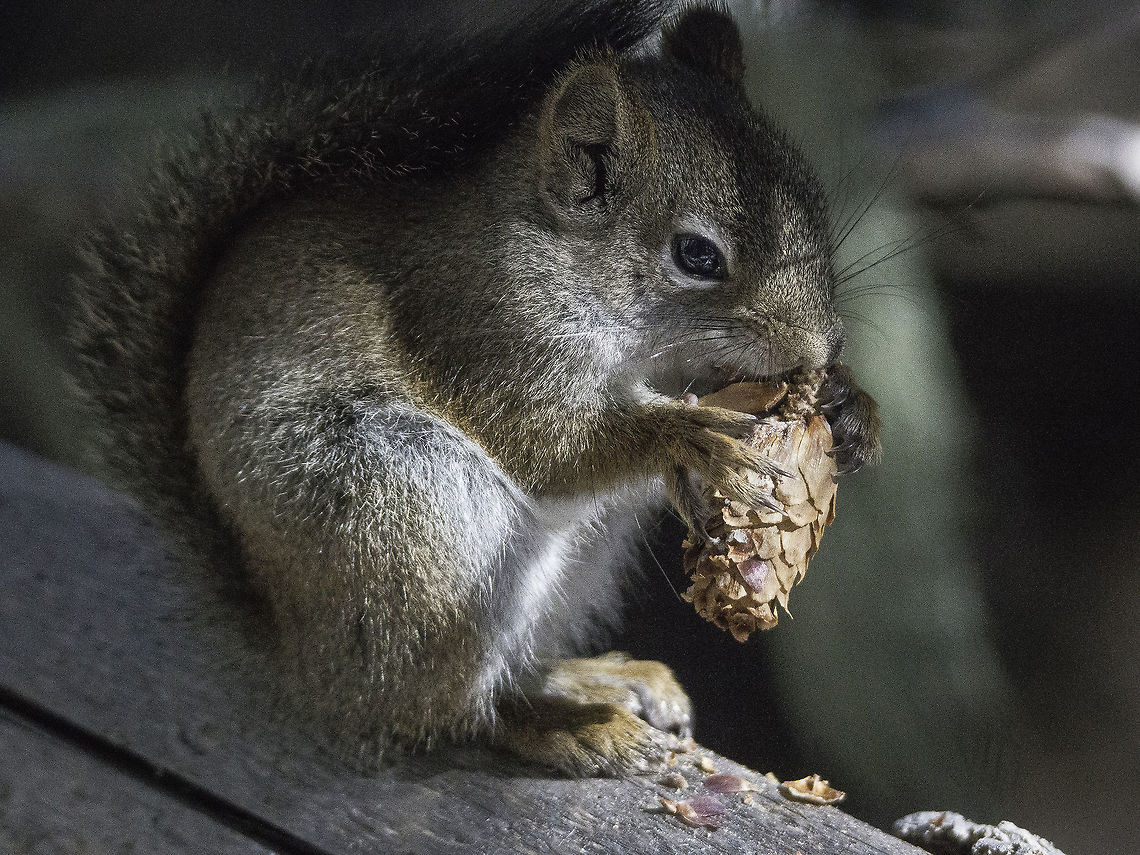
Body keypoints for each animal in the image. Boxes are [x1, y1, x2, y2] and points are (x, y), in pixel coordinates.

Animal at [69, 0, 881, 776]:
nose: (821, 347)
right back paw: (569, 730)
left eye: (813, 200)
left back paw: (597, 680)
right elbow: (552, 446)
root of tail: (308, 665)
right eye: (697, 255)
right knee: (446, 712)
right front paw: (689, 435)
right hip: (403, 513)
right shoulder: (480, 332)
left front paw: (849, 409)